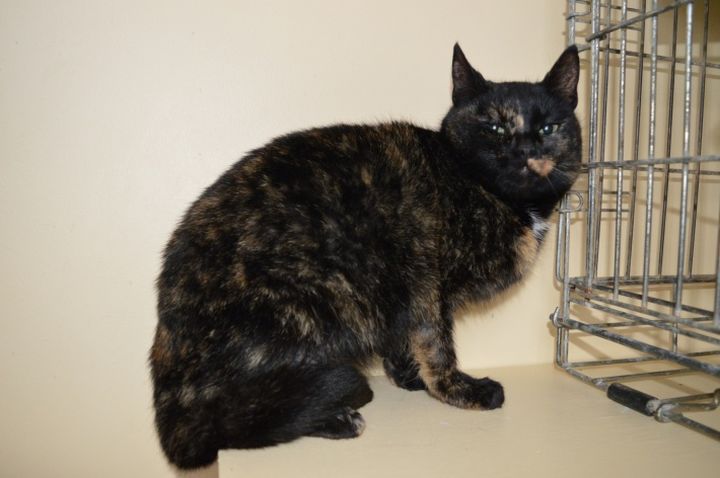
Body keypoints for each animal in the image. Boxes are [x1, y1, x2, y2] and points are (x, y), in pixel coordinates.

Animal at [150, 43, 581, 469]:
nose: (525, 149)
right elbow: (437, 346)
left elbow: (402, 339)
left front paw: (408, 378)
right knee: (224, 420)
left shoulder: (409, 287)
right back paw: (337, 417)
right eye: (494, 128)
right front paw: (460, 391)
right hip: (323, 295)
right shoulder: (429, 286)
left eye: (548, 128)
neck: (507, 200)